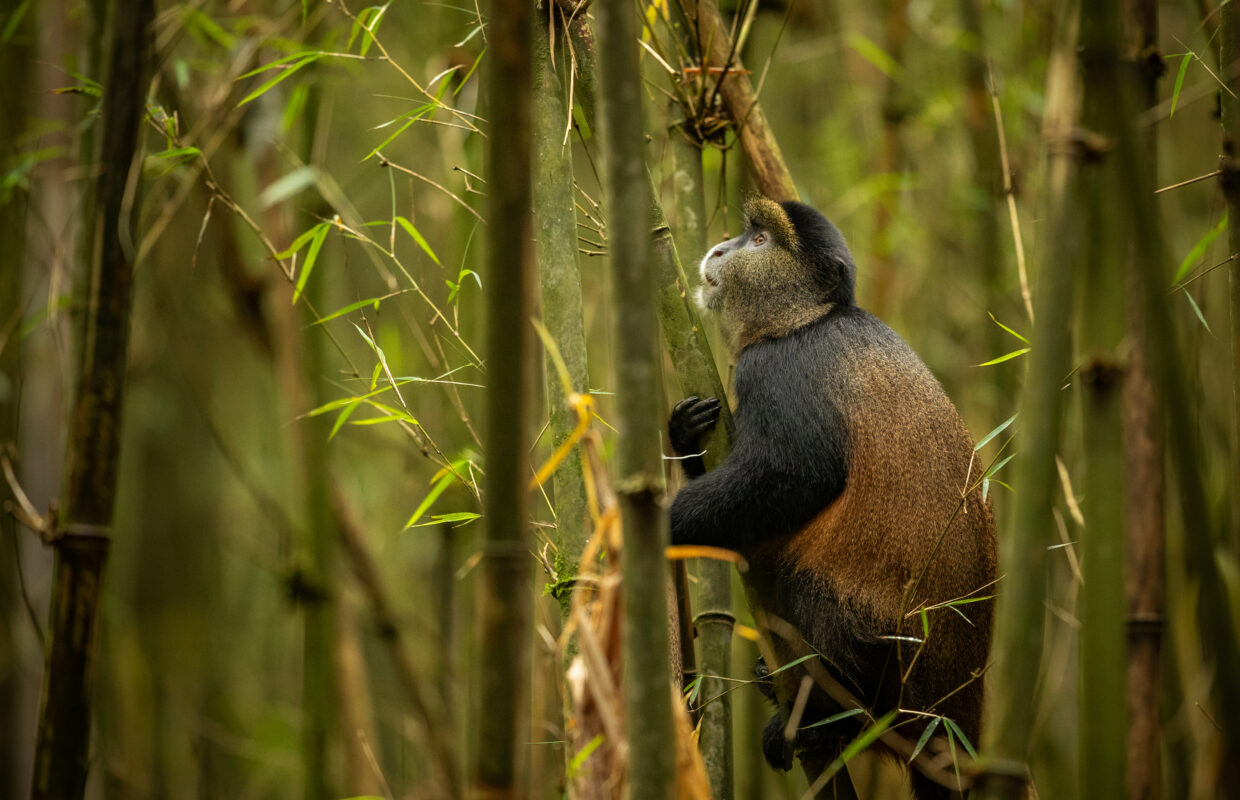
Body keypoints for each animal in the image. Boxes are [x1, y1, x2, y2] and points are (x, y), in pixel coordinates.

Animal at [668, 197, 997, 800]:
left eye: (760, 241)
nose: (720, 248)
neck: (810, 318)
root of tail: (956, 725)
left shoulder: (776, 371)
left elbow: (795, 476)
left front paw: (657, 519)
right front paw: (681, 435)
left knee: (815, 593)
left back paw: (824, 721)